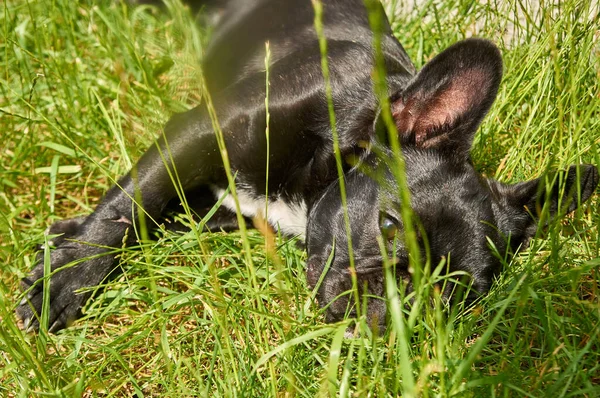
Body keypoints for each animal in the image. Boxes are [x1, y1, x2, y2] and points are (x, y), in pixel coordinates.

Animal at [16, 0, 596, 332]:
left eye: (451, 295)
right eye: (389, 224)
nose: (390, 307)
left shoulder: (222, 208)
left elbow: (158, 211)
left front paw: (64, 241)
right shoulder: (200, 130)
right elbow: (130, 204)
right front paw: (65, 281)